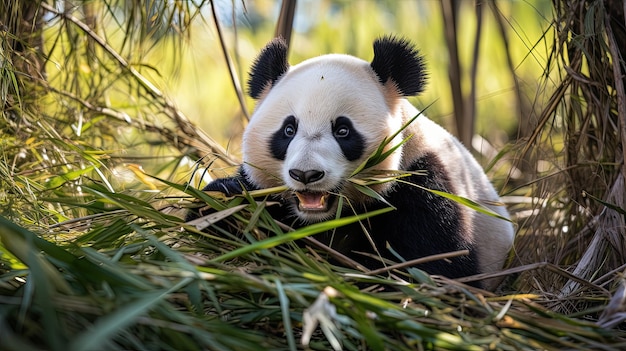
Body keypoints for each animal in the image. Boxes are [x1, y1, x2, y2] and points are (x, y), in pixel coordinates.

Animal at [193, 35, 516, 290]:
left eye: (343, 130)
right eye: (288, 129)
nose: (306, 174)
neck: (326, 218)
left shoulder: (421, 185)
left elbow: (437, 266)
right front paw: (220, 203)